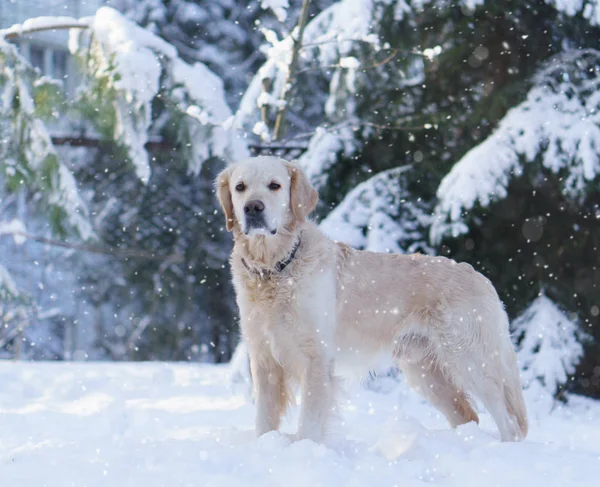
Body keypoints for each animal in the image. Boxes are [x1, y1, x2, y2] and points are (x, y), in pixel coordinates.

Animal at [218, 155, 528, 442]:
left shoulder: (316, 358)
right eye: (240, 187)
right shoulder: (263, 359)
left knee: (509, 422)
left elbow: (309, 424)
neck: (275, 269)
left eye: (275, 185)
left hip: (472, 360)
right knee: (468, 416)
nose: (252, 208)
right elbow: (264, 420)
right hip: (425, 372)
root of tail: (481, 276)